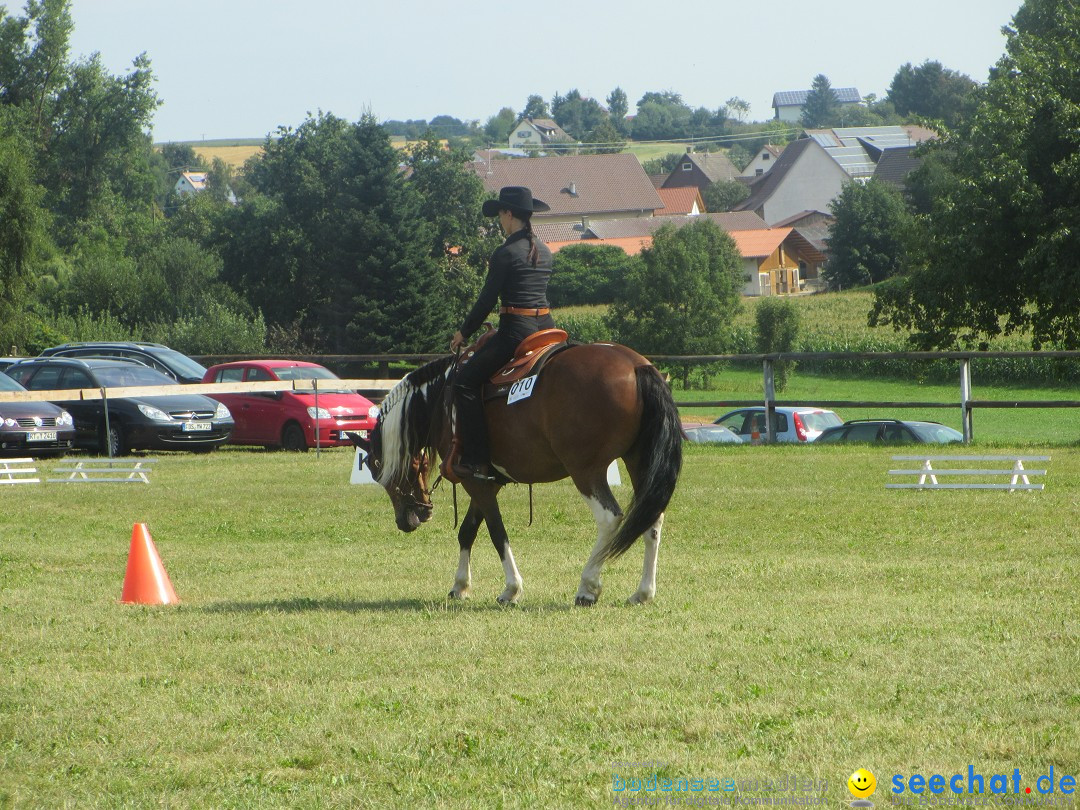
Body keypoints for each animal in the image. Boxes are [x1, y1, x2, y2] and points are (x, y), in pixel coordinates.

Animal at [349, 343, 678, 609]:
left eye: (378, 470)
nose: (407, 520)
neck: (441, 399)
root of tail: (636, 366)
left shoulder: (475, 482)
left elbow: (497, 532)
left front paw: (511, 589)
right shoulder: (485, 481)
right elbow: (467, 530)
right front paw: (460, 586)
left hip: (586, 470)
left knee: (610, 517)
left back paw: (588, 586)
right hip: (638, 461)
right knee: (651, 519)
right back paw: (643, 593)